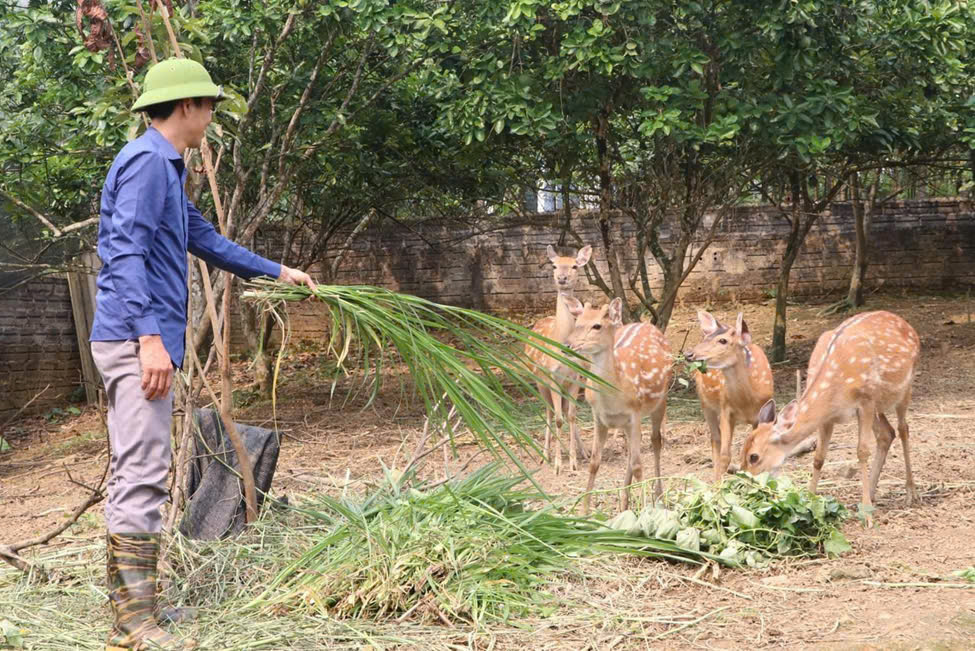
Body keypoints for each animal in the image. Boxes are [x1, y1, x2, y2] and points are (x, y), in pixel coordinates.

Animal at [528, 244, 596, 474]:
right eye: (554, 265)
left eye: (575, 265)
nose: (562, 278)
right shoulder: (552, 378)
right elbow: (558, 419)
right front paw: (558, 465)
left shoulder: (574, 379)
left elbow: (572, 415)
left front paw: (574, 462)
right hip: (539, 381)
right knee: (550, 412)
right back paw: (545, 456)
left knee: (565, 412)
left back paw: (583, 452)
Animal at [564, 296, 672, 516]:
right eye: (578, 323)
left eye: (597, 325)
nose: (568, 344)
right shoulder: (599, 418)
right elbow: (594, 463)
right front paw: (583, 513)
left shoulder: (635, 413)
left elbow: (639, 465)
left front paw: (645, 512)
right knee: (631, 451)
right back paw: (624, 501)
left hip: (661, 400)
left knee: (655, 441)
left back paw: (658, 496)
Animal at [692, 310, 772, 484]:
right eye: (706, 338)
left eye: (723, 340)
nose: (689, 353)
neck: (747, 402)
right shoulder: (725, 409)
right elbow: (725, 456)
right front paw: (718, 487)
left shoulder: (759, 415)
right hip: (705, 402)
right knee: (715, 439)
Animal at [744, 310, 920, 524]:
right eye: (741, 451)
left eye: (754, 457)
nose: (747, 488)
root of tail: (908, 326)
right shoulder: (829, 417)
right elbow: (819, 457)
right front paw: (807, 503)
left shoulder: (866, 400)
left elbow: (862, 452)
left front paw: (867, 517)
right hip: (878, 406)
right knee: (887, 433)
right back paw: (871, 494)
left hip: (905, 387)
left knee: (903, 429)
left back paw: (910, 493)